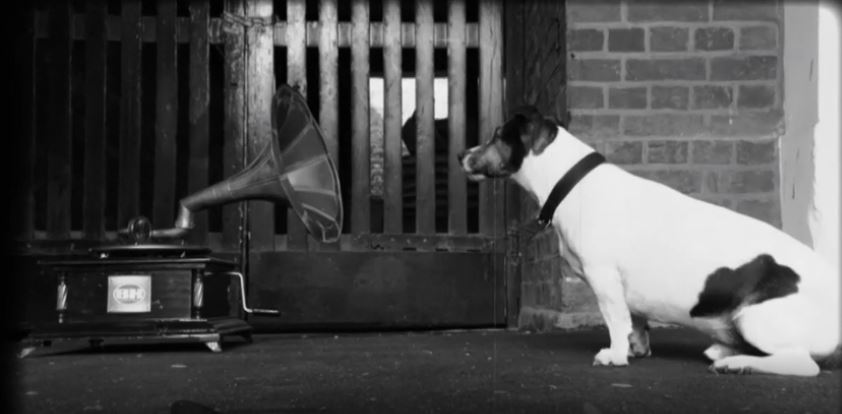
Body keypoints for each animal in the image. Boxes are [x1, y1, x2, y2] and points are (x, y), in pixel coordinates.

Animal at [458, 106, 840, 376]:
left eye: (497, 135)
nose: (462, 154)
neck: (571, 183)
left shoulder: (603, 276)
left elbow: (615, 319)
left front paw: (614, 355)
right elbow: (636, 322)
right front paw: (634, 349)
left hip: (756, 319)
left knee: (802, 363)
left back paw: (737, 363)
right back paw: (725, 352)